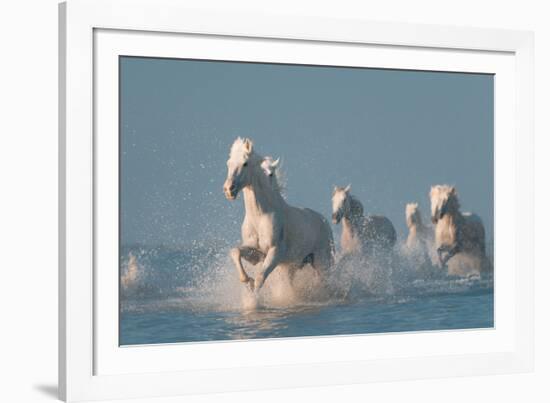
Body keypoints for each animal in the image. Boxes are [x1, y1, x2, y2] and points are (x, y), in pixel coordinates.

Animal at [222, 138, 334, 290]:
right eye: (228, 163)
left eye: (245, 163)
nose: (229, 189)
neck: (260, 215)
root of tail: (324, 221)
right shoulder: (256, 253)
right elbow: (235, 251)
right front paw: (246, 280)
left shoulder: (275, 252)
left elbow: (260, 278)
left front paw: (253, 291)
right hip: (293, 265)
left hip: (322, 261)